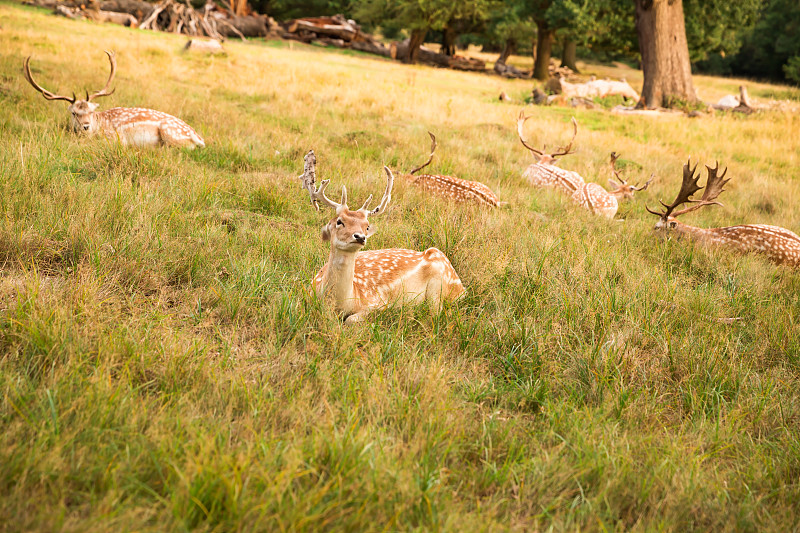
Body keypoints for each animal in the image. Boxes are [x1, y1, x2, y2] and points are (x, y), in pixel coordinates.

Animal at [25, 51, 206, 149]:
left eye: (91, 111)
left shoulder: (115, 138)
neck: (100, 125)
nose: (85, 126)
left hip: (170, 132)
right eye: (74, 113)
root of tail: (199, 138)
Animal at [296, 150, 466, 324]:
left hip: (438, 287)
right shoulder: (304, 296)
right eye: (339, 221)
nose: (360, 237)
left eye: (366, 226)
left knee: (437, 313)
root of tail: (462, 287)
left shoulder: (377, 303)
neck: (341, 303)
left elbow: (351, 319)